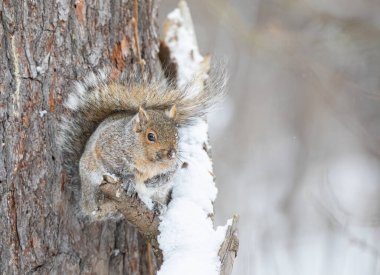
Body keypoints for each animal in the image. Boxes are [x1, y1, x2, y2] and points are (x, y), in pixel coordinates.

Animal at [60, 69, 224, 218]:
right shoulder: (107, 146)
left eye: (177, 135)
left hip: (161, 193)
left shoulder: (172, 166)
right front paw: (129, 180)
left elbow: (168, 175)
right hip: (91, 181)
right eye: (151, 136)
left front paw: (153, 181)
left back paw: (158, 206)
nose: (171, 154)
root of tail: (84, 201)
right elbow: (114, 167)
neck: (149, 161)